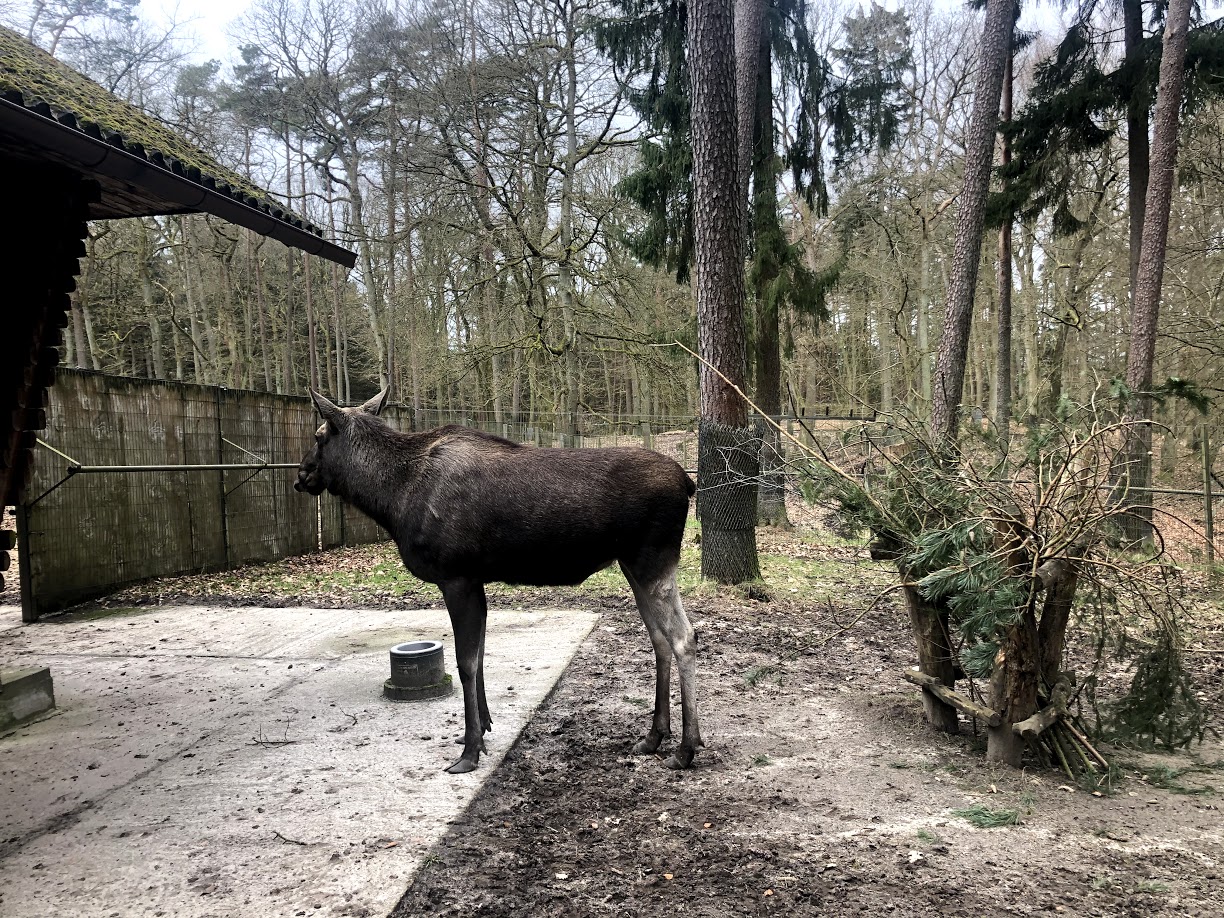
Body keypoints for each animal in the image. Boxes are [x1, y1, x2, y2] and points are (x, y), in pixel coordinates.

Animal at [295, 389, 703, 774]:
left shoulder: (455, 577)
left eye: (318, 436)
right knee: (659, 639)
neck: (392, 498)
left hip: (653, 561)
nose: (301, 475)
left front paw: (470, 751)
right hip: (633, 566)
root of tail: (688, 482)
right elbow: (479, 655)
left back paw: (686, 748)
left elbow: (465, 662)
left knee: (684, 637)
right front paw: (483, 728)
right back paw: (654, 736)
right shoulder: (475, 581)